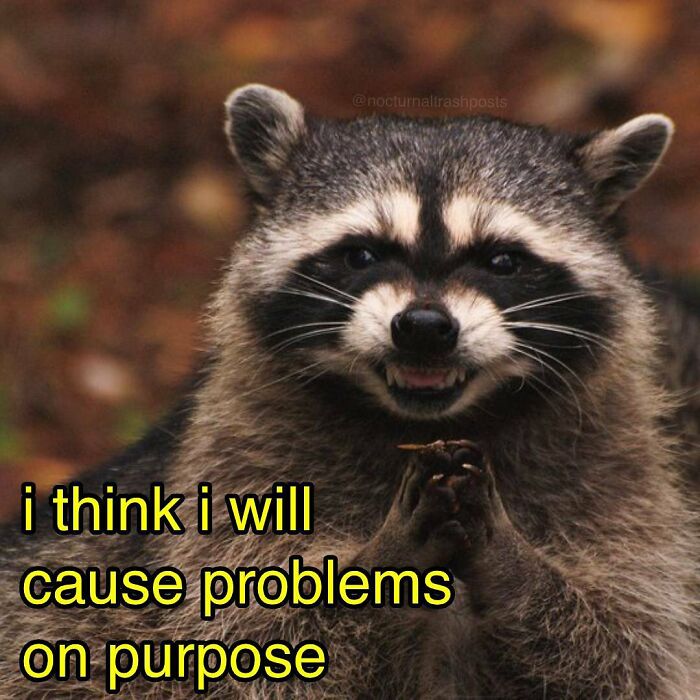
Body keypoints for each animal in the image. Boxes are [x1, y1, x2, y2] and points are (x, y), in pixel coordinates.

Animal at [1, 84, 699, 698]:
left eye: (501, 260)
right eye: (362, 254)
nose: (424, 327)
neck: (420, 423)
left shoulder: (615, 479)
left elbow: (627, 649)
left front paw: (513, 563)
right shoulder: (237, 478)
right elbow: (258, 641)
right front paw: (382, 564)